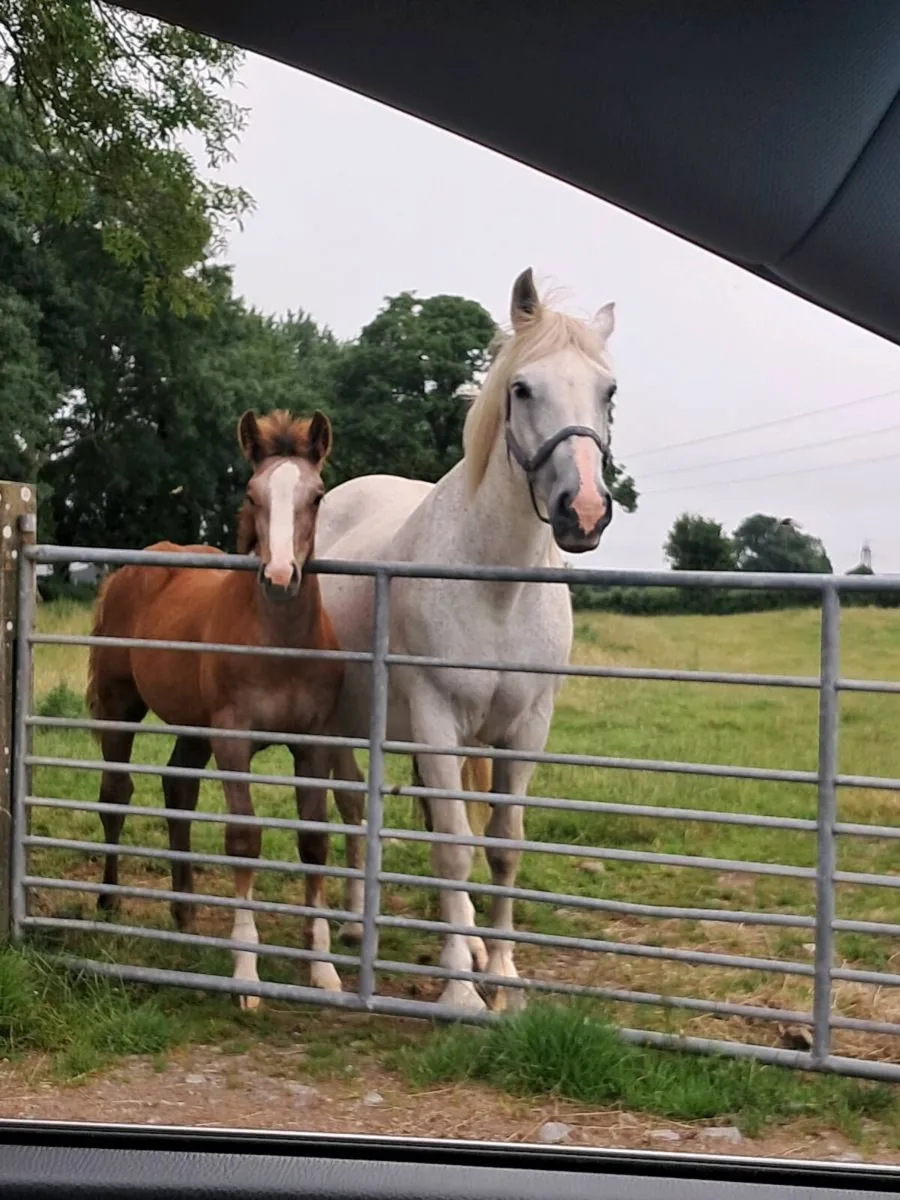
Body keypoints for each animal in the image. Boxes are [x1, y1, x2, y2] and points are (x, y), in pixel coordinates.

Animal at [85, 407, 352, 1007]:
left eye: (318, 495)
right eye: (252, 493)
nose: (280, 578)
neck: (280, 644)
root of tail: (135, 567)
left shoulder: (315, 743)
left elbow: (314, 839)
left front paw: (323, 969)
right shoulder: (234, 738)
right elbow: (243, 838)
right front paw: (246, 974)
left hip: (193, 726)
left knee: (177, 790)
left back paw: (185, 913)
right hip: (120, 705)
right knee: (116, 794)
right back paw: (109, 902)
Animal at [319, 268, 616, 1012]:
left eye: (609, 392)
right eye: (522, 388)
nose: (584, 512)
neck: (496, 586)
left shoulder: (525, 727)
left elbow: (501, 845)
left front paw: (501, 975)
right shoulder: (436, 719)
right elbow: (454, 845)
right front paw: (458, 990)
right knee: (350, 808)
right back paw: (350, 922)